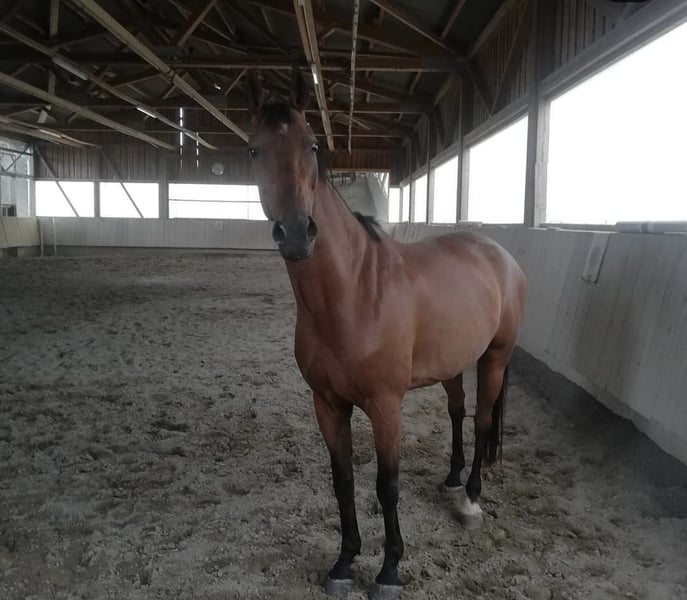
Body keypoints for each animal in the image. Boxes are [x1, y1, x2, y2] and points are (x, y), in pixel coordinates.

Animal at [246, 69, 527, 600]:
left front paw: (389, 570)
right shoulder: (327, 403)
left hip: (495, 358)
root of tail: (498, 253)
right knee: (458, 411)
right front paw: (343, 562)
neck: (353, 294)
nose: (296, 232)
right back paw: (452, 477)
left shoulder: (385, 405)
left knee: (481, 421)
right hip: (452, 361)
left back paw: (471, 500)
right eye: (254, 150)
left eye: (313, 145)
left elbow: (386, 485)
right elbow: (342, 481)